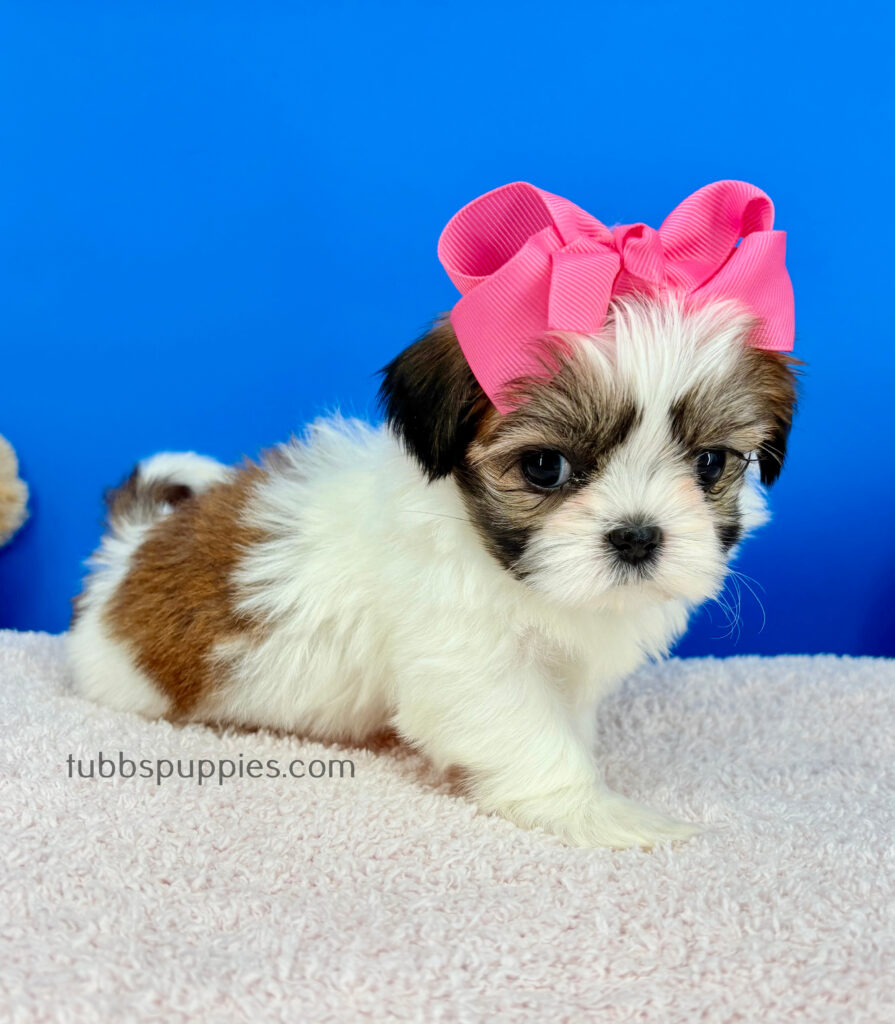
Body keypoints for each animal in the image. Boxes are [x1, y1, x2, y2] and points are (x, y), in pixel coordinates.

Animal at [68, 181, 797, 849]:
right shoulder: (467, 661)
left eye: (709, 463)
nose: (638, 537)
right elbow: (531, 735)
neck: (489, 554)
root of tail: (129, 551)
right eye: (545, 467)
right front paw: (595, 811)